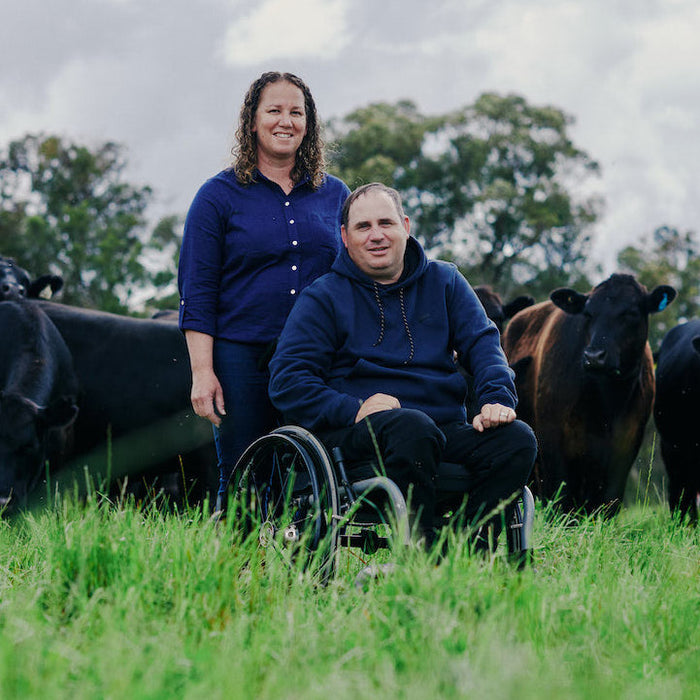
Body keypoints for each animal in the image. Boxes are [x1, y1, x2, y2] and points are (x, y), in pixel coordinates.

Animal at [506, 274, 676, 516]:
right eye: (588, 313)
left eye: (631, 313)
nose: (594, 355)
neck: (604, 404)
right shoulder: (554, 447)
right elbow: (561, 501)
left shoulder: (623, 454)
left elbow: (607, 504)